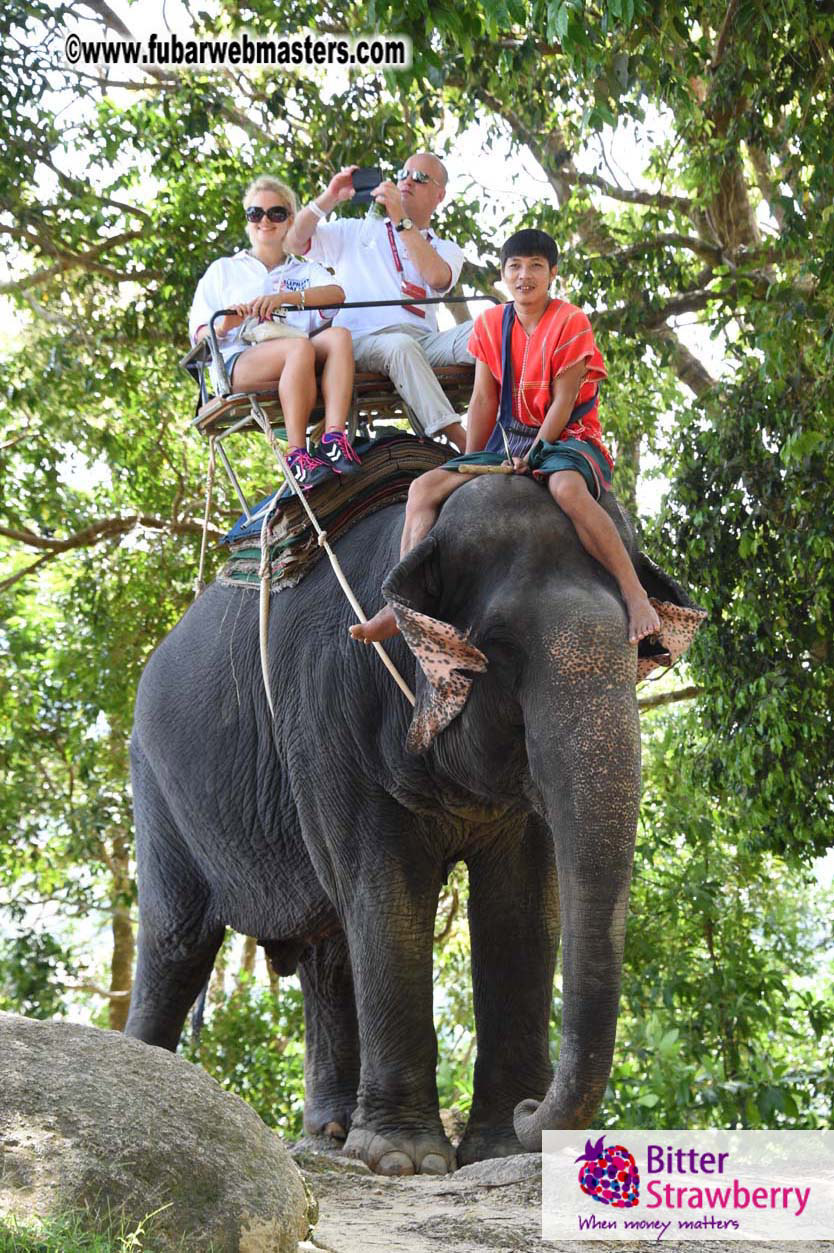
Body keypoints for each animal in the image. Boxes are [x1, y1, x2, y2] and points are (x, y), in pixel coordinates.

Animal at [125, 467, 699, 1175]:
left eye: (640, 646)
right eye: (500, 648)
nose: (533, 1113)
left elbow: (521, 906)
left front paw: (494, 1149)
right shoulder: (328, 708)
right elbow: (386, 890)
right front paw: (407, 1162)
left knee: (325, 951)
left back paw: (329, 1136)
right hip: (155, 782)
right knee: (177, 941)